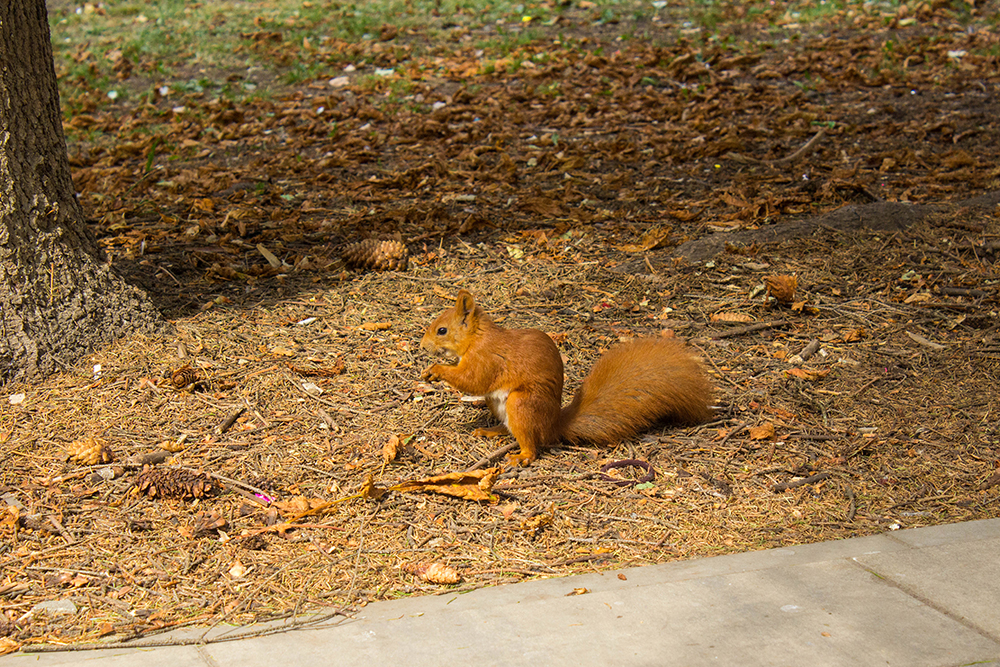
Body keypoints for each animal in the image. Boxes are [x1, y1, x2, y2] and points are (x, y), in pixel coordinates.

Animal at [420, 290, 712, 468]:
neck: (477, 338)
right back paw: (491, 431)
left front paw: (437, 369)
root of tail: (553, 425)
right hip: (500, 405)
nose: (423, 346)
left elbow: (473, 380)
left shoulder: (487, 359)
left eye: (442, 330)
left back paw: (522, 457)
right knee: (509, 429)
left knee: (531, 443)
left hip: (521, 404)